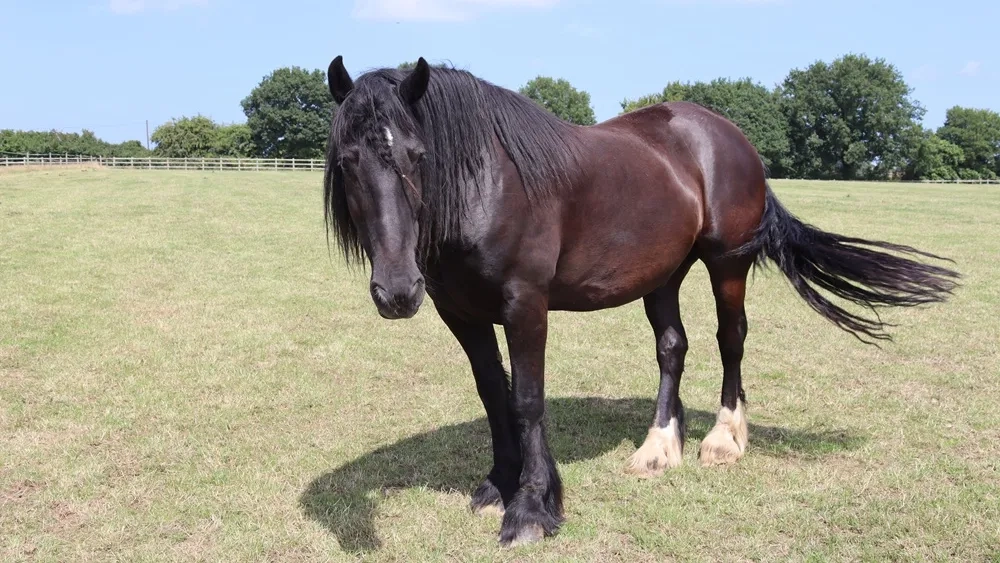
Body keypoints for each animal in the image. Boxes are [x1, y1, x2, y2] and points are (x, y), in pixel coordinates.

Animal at [321, 56, 960, 547]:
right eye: (348, 161)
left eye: (417, 155)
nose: (397, 291)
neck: (488, 185)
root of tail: (729, 134)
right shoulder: (462, 314)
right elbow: (493, 395)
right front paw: (498, 484)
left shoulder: (525, 306)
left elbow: (526, 400)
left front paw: (532, 508)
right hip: (663, 276)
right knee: (673, 348)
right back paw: (659, 447)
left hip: (726, 265)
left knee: (731, 339)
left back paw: (724, 438)